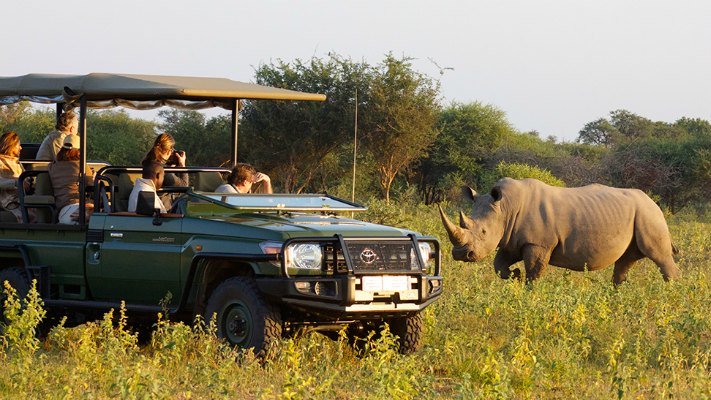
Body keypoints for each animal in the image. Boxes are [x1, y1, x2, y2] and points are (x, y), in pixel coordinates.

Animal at [442, 178, 680, 284]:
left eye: (483, 231)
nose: (461, 255)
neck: (506, 207)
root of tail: (653, 201)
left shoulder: (538, 243)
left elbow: (534, 272)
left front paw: (528, 293)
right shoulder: (511, 240)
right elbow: (498, 266)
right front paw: (514, 275)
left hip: (650, 215)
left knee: (660, 257)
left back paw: (672, 294)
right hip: (639, 215)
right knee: (625, 262)